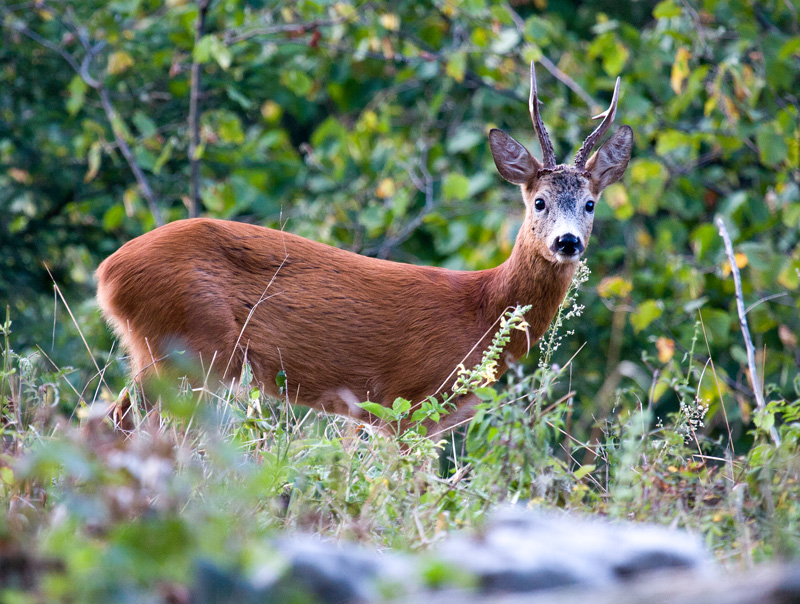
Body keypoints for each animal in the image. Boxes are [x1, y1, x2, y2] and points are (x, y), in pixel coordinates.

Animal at [95, 62, 632, 434]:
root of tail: (107, 273)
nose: (567, 242)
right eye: (539, 201)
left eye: (590, 204)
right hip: (186, 345)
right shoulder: (408, 400)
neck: (481, 308)